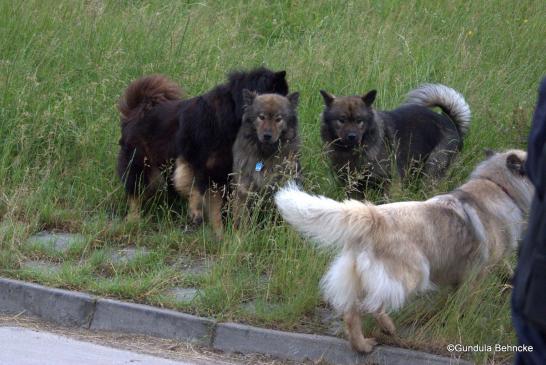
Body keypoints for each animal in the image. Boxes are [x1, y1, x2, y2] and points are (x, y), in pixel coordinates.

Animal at [228, 89, 300, 223]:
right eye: (261, 117)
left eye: (278, 119)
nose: (267, 135)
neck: (265, 154)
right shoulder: (244, 190)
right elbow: (242, 219)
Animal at [274, 149, 528, 352]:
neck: (497, 185)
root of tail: (373, 216)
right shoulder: (478, 270)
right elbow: (469, 298)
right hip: (413, 274)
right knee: (373, 304)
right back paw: (387, 327)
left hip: (357, 275)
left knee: (352, 313)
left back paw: (363, 346)